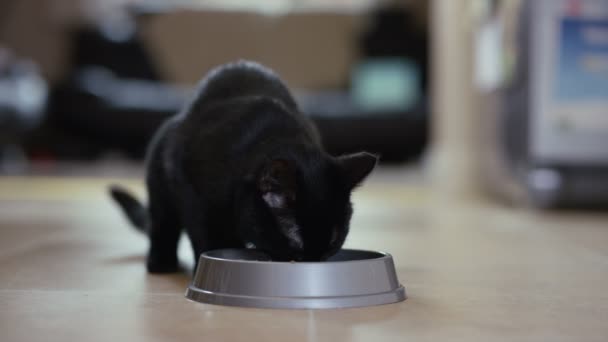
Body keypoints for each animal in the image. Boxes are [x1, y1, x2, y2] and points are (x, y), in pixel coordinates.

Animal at [108, 59, 376, 272]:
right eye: (296, 244)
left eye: (333, 242)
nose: (313, 264)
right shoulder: (191, 191)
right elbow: (203, 234)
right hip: (161, 180)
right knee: (163, 223)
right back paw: (161, 263)